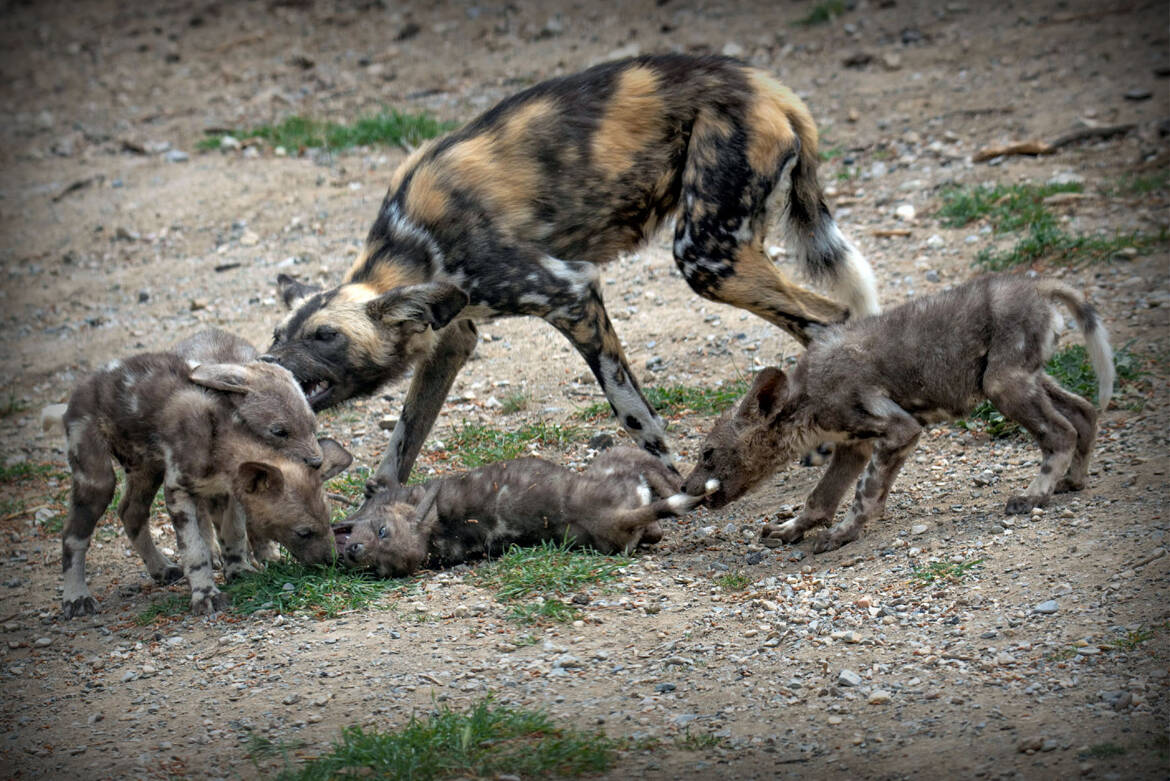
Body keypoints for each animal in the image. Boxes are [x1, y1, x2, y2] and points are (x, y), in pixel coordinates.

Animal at [47, 348, 348, 617]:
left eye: (328, 523)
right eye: (303, 532)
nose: (334, 560)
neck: (220, 435)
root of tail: (80, 388)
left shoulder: (225, 493)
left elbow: (233, 536)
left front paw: (239, 572)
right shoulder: (178, 493)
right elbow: (196, 551)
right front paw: (206, 595)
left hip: (147, 469)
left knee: (130, 513)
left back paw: (161, 568)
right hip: (96, 479)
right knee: (73, 536)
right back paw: (76, 597)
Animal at [267, 53, 879, 481]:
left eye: (325, 337)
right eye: (277, 334)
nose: (269, 364)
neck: (413, 246)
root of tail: (765, 84)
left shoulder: (572, 294)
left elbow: (634, 413)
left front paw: (669, 486)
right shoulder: (452, 337)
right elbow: (402, 443)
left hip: (706, 256)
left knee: (828, 317)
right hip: (727, 250)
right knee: (833, 313)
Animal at [332, 444, 720, 579]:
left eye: (383, 532)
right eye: (379, 568)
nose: (354, 551)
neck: (435, 533)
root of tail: (611, 519)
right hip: (614, 472)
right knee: (656, 506)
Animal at [683, 274, 1113, 554]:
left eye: (707, 455)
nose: (685, 488)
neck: (805, 399)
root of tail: (1038, 286)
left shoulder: (898, 429)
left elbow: (865, 493)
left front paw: (843, 535)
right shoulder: (853, 446)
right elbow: (820, 498)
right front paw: (791, 529)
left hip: (1004, 385)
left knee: (1060, 433)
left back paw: (1033, 496)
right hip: (1026, 377)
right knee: (1084, 413)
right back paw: (1072, 482)